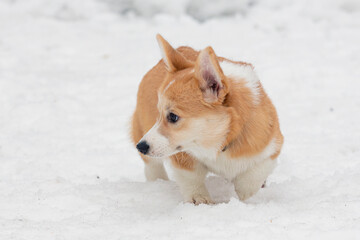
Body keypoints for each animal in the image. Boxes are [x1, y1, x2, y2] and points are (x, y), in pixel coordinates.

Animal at [131, 34, 282, 204]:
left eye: (173, 117)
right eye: (159, 113)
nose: (141, 146)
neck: (221, 140)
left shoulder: (272, 146)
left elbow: (254, 176)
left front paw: (244, 195)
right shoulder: (184, 157)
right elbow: (191, 178)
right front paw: (200, 200)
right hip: (140, 126)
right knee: (152, 166)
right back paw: (158, 182)